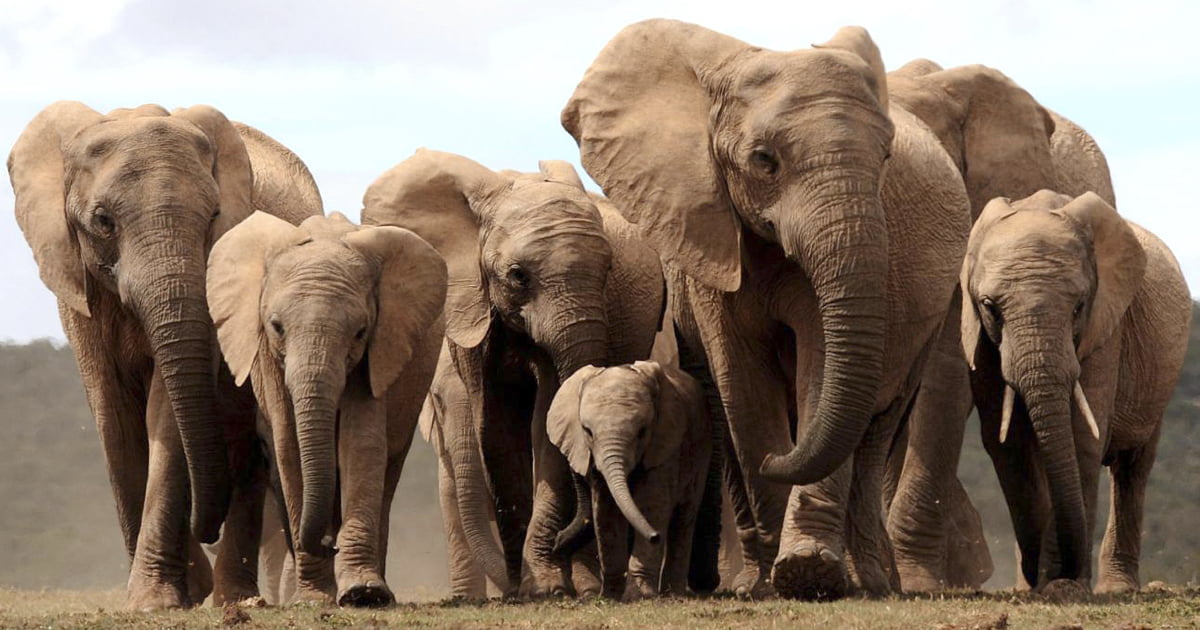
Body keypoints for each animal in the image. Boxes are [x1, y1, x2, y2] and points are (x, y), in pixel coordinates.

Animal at [8, 102, 322, 609]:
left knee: (243, 448)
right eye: (103, 221)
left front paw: (160, 598)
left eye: (215, 215)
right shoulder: (77, 285)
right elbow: (112, 414)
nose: (203, 532)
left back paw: (233, 598)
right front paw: (172, 593)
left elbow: (167, 412)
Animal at [206, 211, 447, 606]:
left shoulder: (378, 349)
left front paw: (364, 594)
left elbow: (361, 443)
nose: (327, 542)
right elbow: (289, 447)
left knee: (388, 471)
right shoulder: (268, 358)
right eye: (276, 326)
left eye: (360, 331)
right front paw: (314, 598)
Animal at [547, 361, 712, 600]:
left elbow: (652, 504)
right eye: (587, 431)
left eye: (642, 432)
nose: (556, 542)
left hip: (701, 449)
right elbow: (605, 511)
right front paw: (610, 597)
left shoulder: (665, 446)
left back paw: (674, 594)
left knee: (684, 517)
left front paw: (641, 595)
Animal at [563, 19, 973, 599]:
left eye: (886, 159)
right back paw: (758, 577)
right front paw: (784, 573)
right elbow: (745, 385)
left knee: (879, 425)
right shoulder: (709, 234)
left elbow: (820, 368)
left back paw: (870, 580)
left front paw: (809, 571)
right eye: (763, 159)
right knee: (724, 410)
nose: (782, 460)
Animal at [960, 190, 1190, 594]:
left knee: (1132, 468)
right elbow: (1007, 443)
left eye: (1078, 307)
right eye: (990, 307)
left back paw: (1116, 588)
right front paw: (1038, 585)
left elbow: (1083, 435)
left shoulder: (1106, 328)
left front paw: (1062, 586)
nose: (1045, 575)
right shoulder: (980, 337)